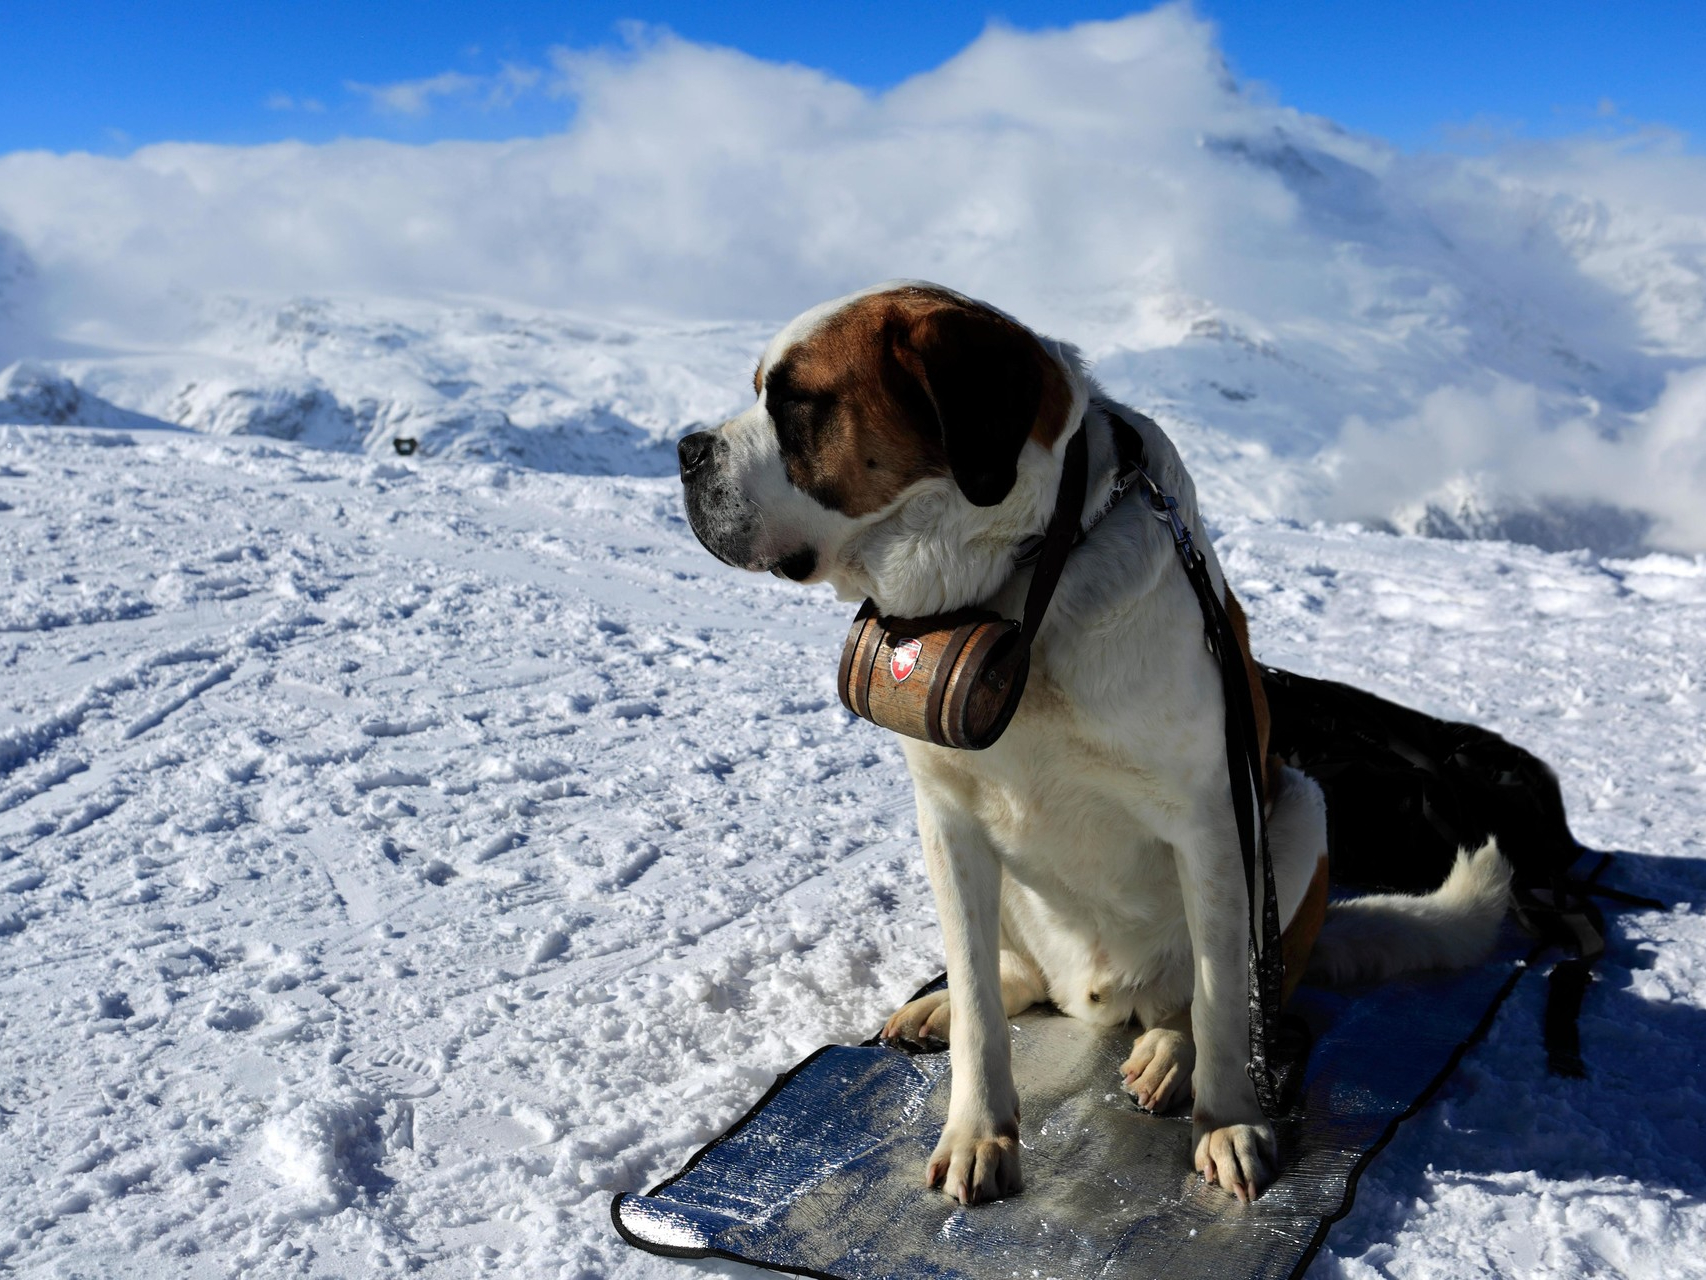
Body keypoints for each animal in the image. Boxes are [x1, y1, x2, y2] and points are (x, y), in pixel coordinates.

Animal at [672, 283, 1514, 1215]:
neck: (1021, 580)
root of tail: (1105, 998)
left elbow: (1224, 999)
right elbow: (978, 999)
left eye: (795, 403)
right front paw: (978, 1131)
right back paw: (946, 1008)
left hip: (1296, 812)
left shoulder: (1213, 819)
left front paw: (1228, 1120)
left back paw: (1171, 1054)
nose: (685, 451)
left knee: (1228, 993)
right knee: (1016, 980)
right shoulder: (946, 818)